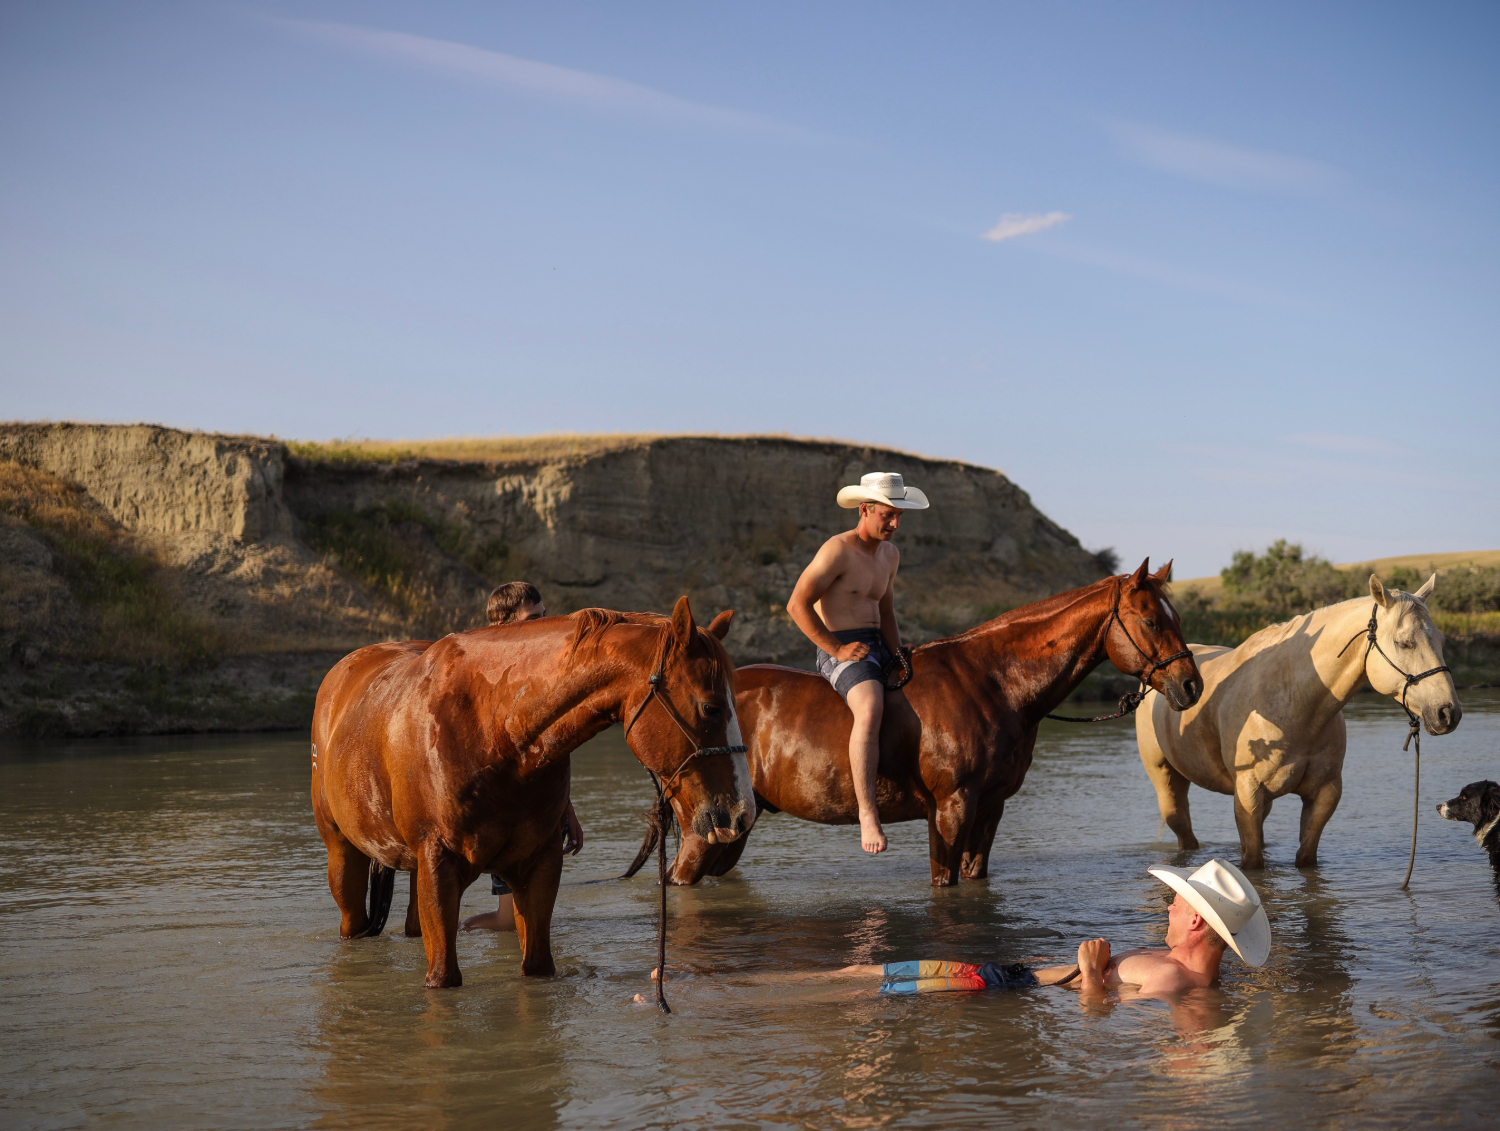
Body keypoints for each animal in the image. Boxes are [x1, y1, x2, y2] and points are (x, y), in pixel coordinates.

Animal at [310, 594, 750, 984]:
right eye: (711, 707)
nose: (740, 812)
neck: (495, 729)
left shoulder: (538, 866)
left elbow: (537, 967)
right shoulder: (438, 867)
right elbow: (444, 978)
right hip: (344, 857)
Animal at [639, 561, 1200, 888]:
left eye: (1176, 617)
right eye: (1152, 620)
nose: (1191, 685)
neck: (993, 682)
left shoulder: (989, 809)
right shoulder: (951, 809)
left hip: (735, 826)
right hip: (705, 829)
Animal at [1140, 576, 1458, 870]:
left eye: (1442, 641)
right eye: (1404, 643)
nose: (1448, 713)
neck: (1293, 705)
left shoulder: (1324, 794)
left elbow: (1305, 857)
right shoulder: (1248, 795)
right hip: (1167, 782)